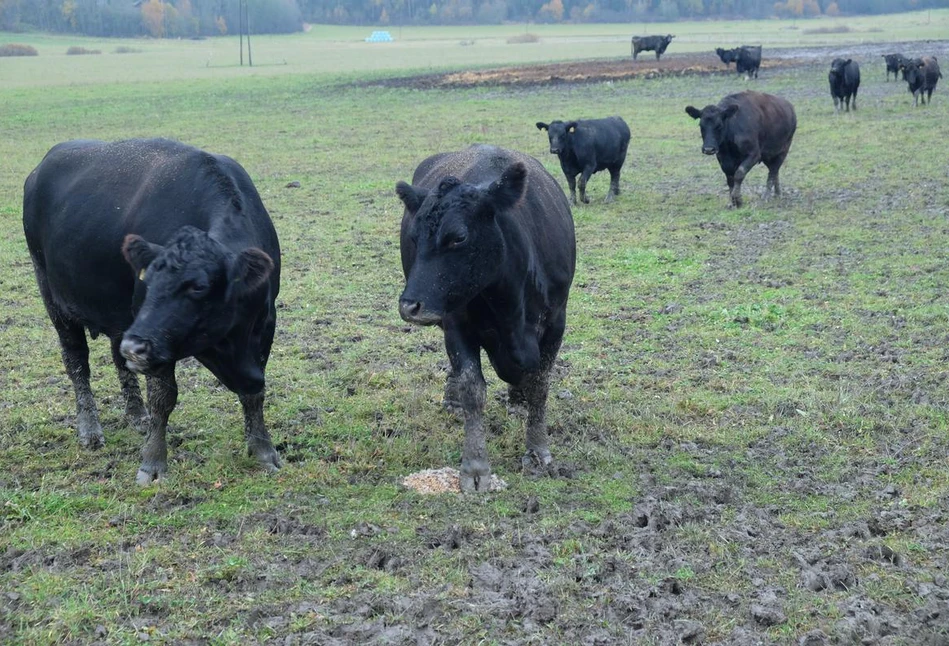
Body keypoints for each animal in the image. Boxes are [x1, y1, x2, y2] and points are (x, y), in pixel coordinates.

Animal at [21, 140, 282, 486]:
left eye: (198, 287)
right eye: (147, 279)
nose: (136, 346)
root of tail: (45, 162)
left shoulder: (265, 325)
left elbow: (255, 393)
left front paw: (263, 450)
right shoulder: (157, 345)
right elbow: (163, 399)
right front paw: (153, 463)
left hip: (120, 314)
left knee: (118, 360)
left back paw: (136, 415)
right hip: (54, 298)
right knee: (76, 362)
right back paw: (89, 429)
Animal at [390, 144, 572, 494]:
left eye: (458, 237)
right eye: (414, 237)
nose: (409, 306)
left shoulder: (556, 323)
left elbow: (539, 385)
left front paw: (538, 451)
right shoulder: (458, 325)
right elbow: (473, 388)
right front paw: (475, 468)